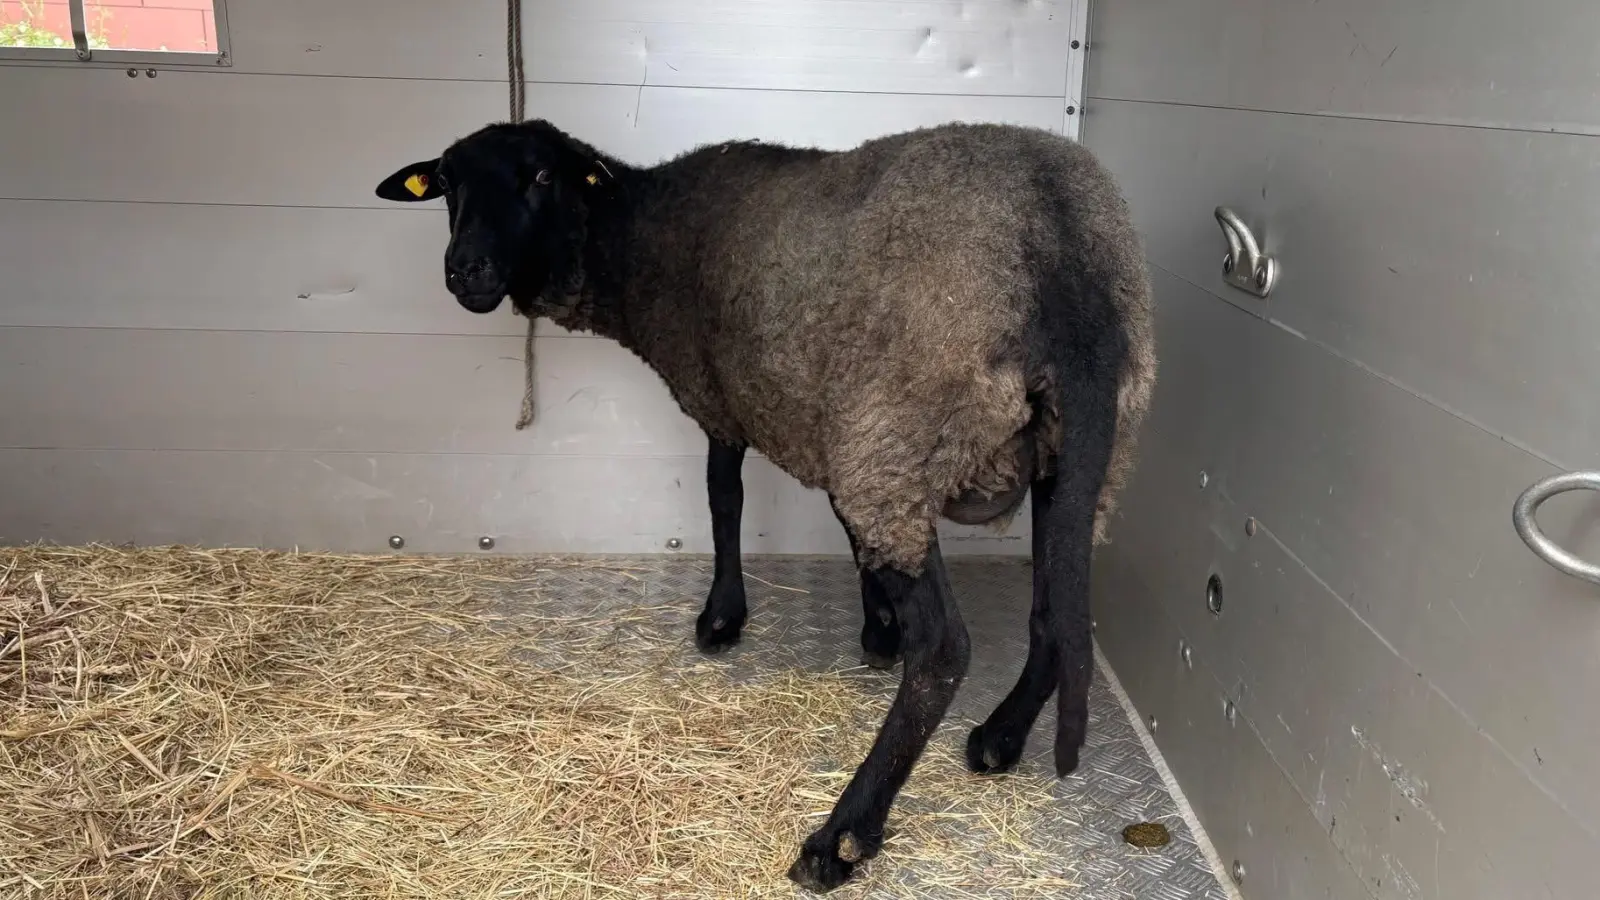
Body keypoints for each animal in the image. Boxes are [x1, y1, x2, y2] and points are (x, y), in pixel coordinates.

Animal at [373, 118, 1156, 892]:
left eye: (539, 175)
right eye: (446, 184)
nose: (465, 269)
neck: (638, 236)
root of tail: (1060, 253)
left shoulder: (732, 402)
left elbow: (726, 500)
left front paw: (723, 617)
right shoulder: (828, 421)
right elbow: (845, 528)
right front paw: (877, 628)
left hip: (901, 434)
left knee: (945, 648)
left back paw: (841, 837)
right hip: (1073, 456)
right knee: (1057, 609)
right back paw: (1001, 736)